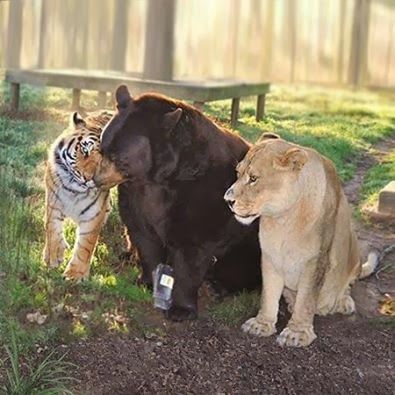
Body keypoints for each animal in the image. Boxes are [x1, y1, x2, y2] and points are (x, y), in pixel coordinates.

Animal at [43, 110, 114, 280]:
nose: (89, 178)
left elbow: (85, 245)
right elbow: (52, 229)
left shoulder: (93, 215)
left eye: (105, 160)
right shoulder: (53, 202)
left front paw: (75, 274)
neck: (74, 191)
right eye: (85, 150)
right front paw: (54, 257)